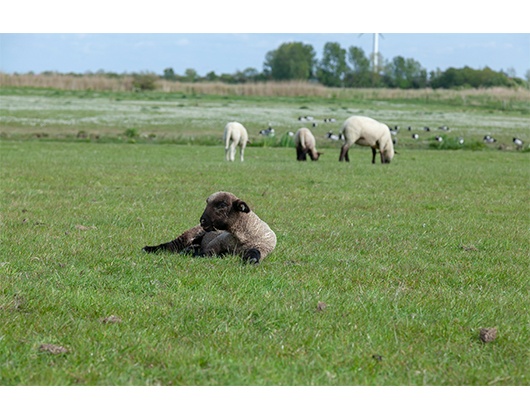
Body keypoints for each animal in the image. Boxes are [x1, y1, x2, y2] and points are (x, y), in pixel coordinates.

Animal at [142, 192, 278, 264]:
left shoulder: (262, 248)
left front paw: (251, 262)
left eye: (222, 204)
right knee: (171, 245)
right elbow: (208, 253)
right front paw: (191, 253)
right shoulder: (216, 242)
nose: (202, 220)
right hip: (191, 234)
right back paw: (149, 249)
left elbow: (254, 256)